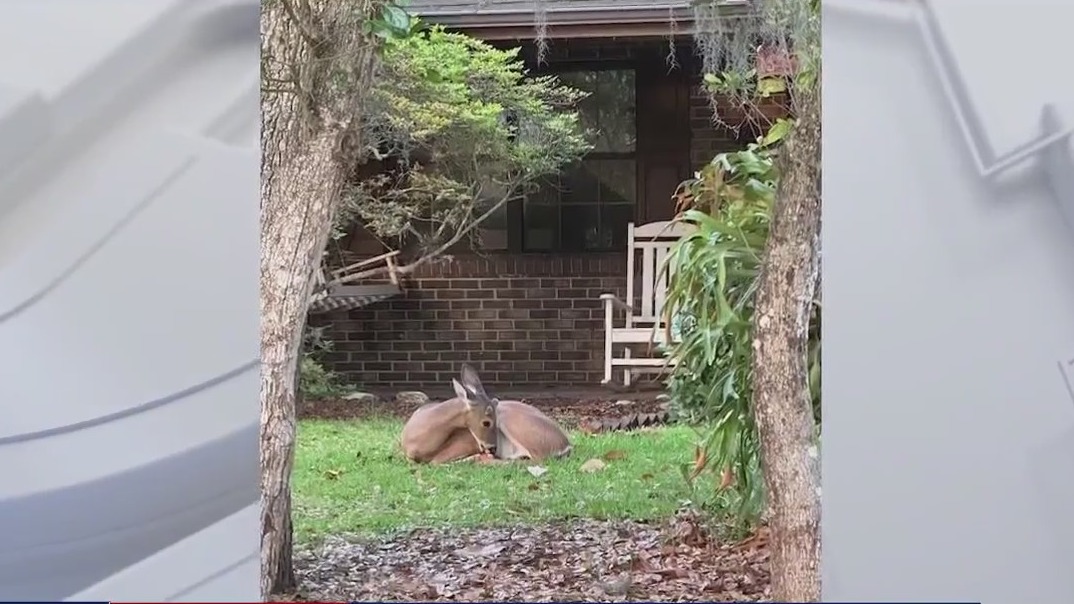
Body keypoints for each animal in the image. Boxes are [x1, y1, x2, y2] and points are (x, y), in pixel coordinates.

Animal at [400, 364, 572, 464]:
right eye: (486, 422)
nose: (493, 448)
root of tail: (566, 445)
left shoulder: (466, 442)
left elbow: (436, 461)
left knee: (536, 459)